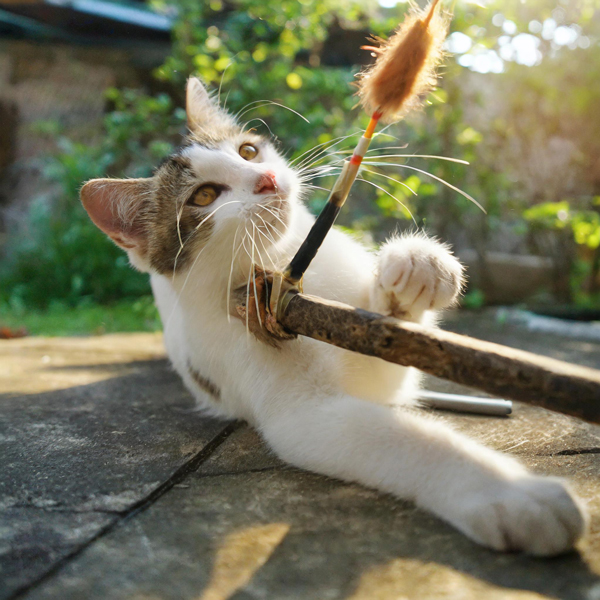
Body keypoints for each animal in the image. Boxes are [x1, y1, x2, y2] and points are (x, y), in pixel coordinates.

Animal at [79, 77, 584, 556]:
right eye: (203, 196)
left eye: (248, 151)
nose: (266, 178)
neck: (282, 261)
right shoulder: (297, 406)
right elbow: (393, 437)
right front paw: (511, 493)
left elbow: (386, 363)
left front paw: (414, 268)